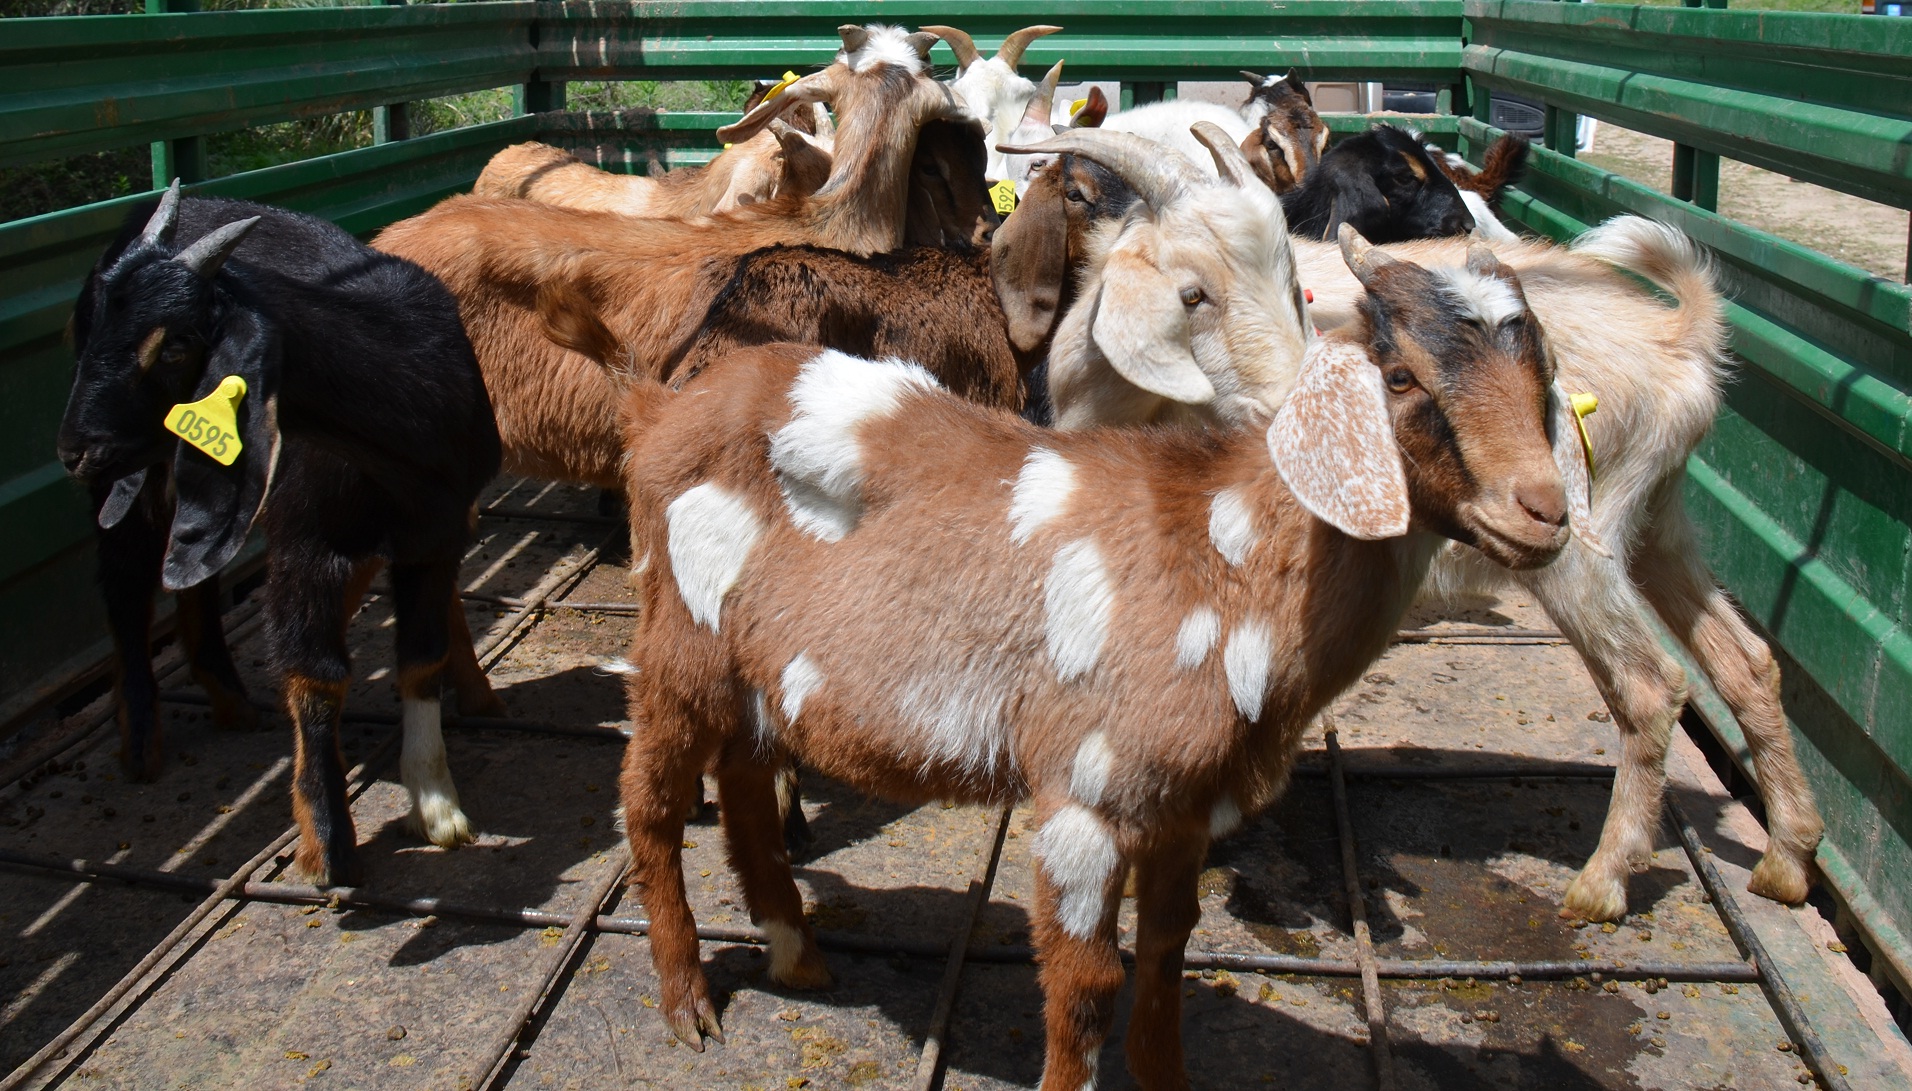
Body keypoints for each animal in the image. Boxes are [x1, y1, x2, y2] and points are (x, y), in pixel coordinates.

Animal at [59, 185, 504, 886]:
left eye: (176, 346)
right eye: (100, 326)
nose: (74, 451)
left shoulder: (434, 535)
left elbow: (421, 658)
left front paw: (436, 805)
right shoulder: (307, 539)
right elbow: (315, 675)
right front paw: (327, 843)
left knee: (191, 572)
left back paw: (228, 694)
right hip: (136, 483)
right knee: (126, 580)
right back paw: (142, 737)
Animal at [615, 224, 1598, 1091]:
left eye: (1544, 373)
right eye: (1400, 375)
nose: (1543, 512)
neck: (1230, 560)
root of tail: (666, 406)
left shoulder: (1183, 805)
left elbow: (1167, 950)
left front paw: (1164, 1074)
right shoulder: (1086, 791)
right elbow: (1086, 981)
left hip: (756, 671)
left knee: (746, 781)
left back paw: (795, 953)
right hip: (677, 641)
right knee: (652, 802)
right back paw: (687, 1003)